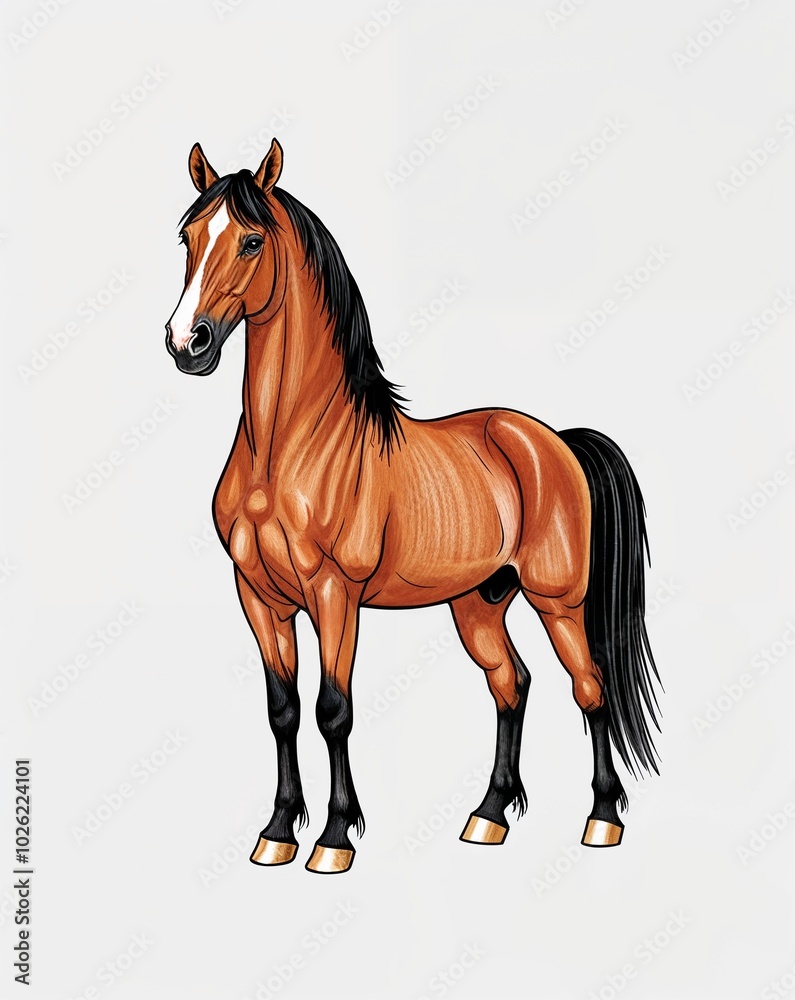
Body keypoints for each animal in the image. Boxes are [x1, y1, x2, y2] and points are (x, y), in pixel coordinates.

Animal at [165, 138, 661, 875]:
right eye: (188, 238)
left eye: (250, 240)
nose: (186, 343)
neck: (290, 447)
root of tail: (552, 441)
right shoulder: (257, 595)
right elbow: (282, 709)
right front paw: (277, 832)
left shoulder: (333, 592)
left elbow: (332, 709)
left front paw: (334, 839)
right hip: (479, 603)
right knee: (511, 683)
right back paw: (488, 817)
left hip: (558, 601)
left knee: (589, 687)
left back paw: (601, 820)